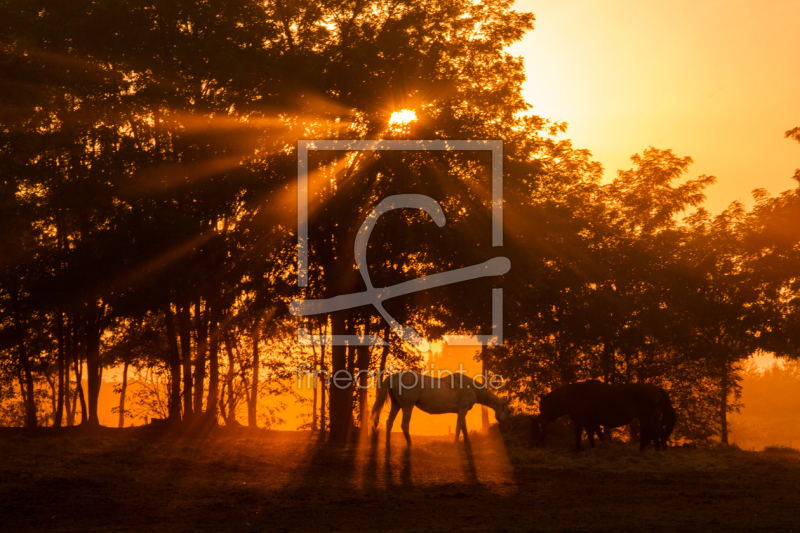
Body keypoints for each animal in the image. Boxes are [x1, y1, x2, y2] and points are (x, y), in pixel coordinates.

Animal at [370, 370, 512, 444]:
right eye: (509, 411)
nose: (506, 429)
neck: (471, 388)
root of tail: (395, 376)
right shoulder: (462, 410)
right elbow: (458, 427)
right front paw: (456, 443)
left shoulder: (462, 410)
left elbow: (463, 428)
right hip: (407, 406)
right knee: (404, 425)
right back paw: (410, 444)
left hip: (396, 405)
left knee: (389, 423)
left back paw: (388, 444)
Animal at [536, 380, 672, 450]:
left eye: (543, 407)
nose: (540, 421)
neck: (573, 396)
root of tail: (656, 391)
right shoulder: (586, 421)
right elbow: (589, 436)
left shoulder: (584, 420)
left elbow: (586, 436)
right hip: (651, 418)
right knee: (657, 434)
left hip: (644, 417)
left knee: (649, 434)